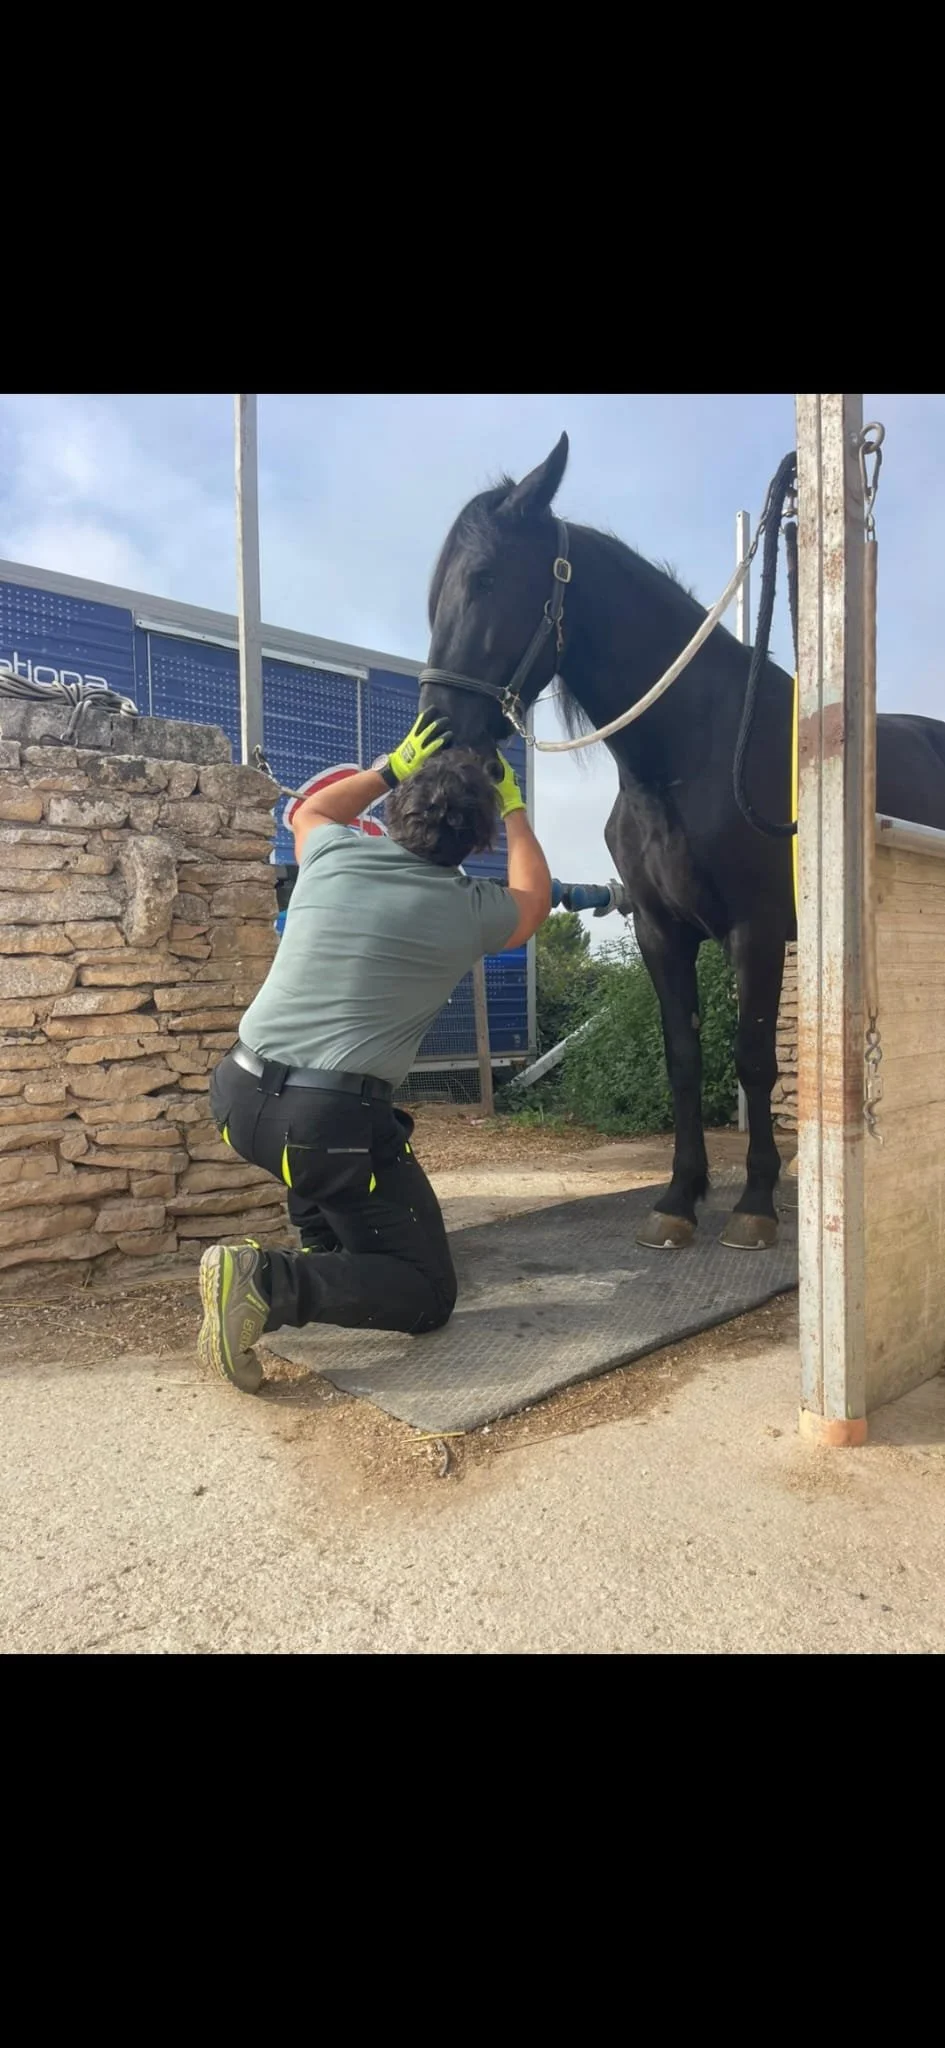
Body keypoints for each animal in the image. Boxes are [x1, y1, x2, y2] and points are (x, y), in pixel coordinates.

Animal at [419, 431, 945, 1250]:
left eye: (485, 576)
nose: (437, 734)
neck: (691, 755)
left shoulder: (755, 931)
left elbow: (753, 1061)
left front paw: (755, 1202)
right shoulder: (661, 931)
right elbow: (684, 1059)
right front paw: (678, 1197)